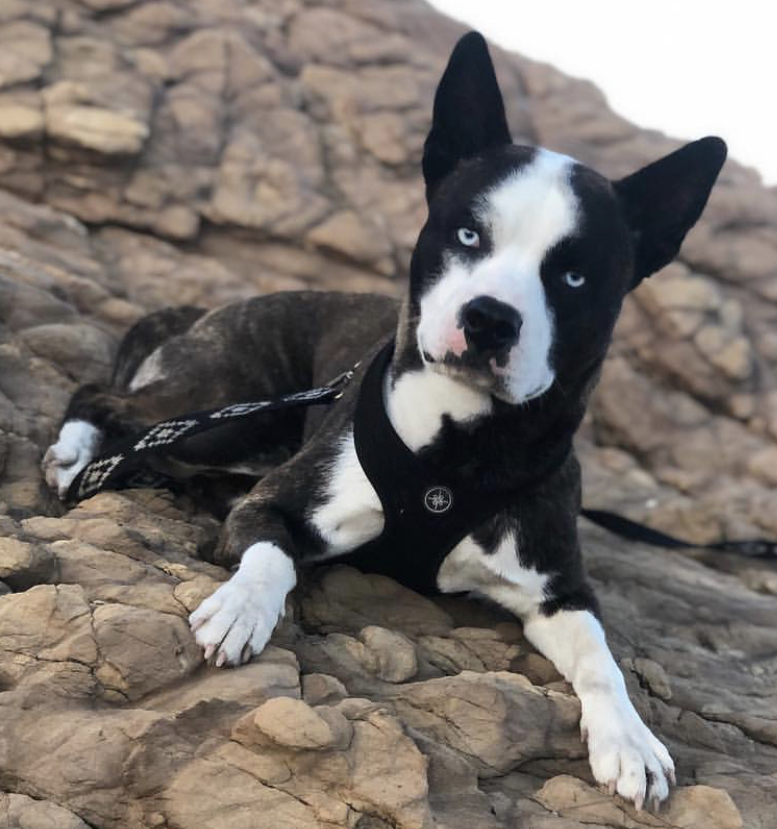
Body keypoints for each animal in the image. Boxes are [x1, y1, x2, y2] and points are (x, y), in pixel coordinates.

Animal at [42, 32, 724, 808]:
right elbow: (272, 552)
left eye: (574, 276)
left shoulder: (560, 591)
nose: (490, 320)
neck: (460, 448)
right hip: (229, 415)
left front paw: (630, 740)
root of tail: (211, 309)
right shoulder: (273, 503)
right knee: (105, 398)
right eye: (467, 234)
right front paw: (243, 607)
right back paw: (77, 453)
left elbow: (600, 659)